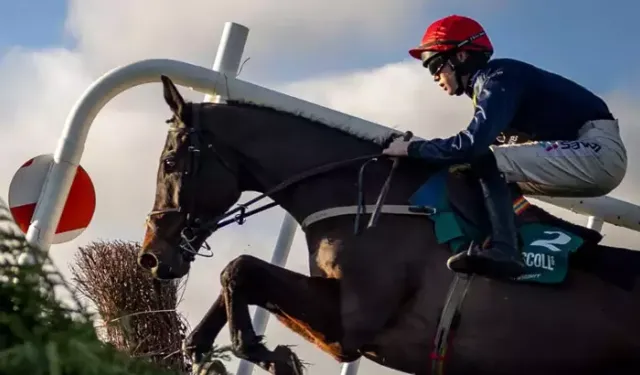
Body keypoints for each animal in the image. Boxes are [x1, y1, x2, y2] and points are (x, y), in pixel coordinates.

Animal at [138, 76, 636, 375]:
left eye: (169, 162)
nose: (151, 256)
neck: (359, 197)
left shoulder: (350, 328)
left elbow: (241, 268)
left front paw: (261, 351)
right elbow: (241, 277)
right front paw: (201, 348)